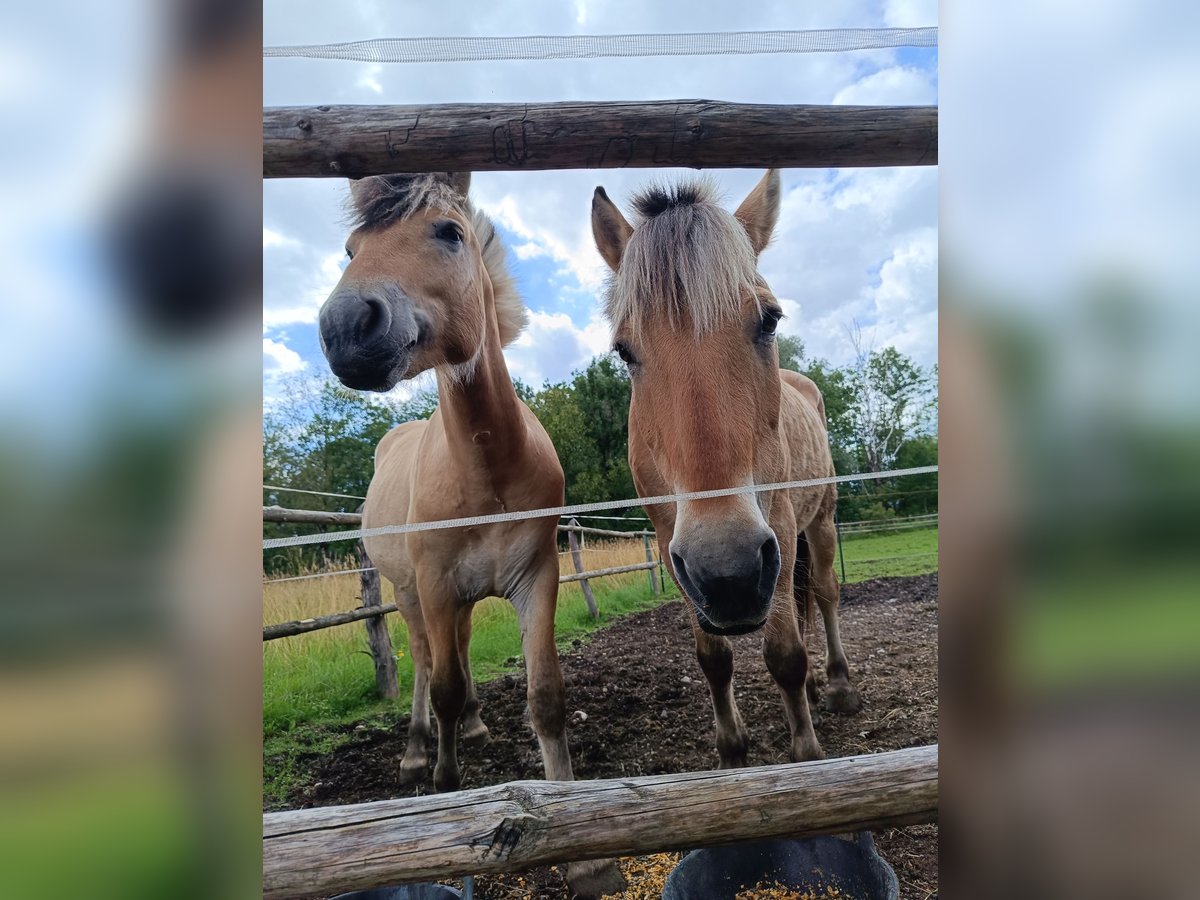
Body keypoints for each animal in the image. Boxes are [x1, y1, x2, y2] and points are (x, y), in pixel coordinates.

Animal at [314, 172, 624, 900]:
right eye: (350, 249)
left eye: (449, 232)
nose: (345, 328)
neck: (485, 469)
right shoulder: (432, 584)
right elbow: (445, 689)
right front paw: (445, 795)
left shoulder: (537, 578)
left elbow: (546, 697)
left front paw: (586, 856)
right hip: (408, 592)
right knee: (428, 664)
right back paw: (416, 752)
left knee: (451, 653)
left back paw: (478, 726)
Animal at [592, 170, 864, 768]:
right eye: (623, 351)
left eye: (770, 320)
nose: (729, 573)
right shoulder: (672, 543)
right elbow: (714, 660)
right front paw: (732, 751)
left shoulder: (777, 528)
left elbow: (784, 655)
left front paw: (806, 753)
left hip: (820, 521)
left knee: (825, 594)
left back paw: (836, 685)